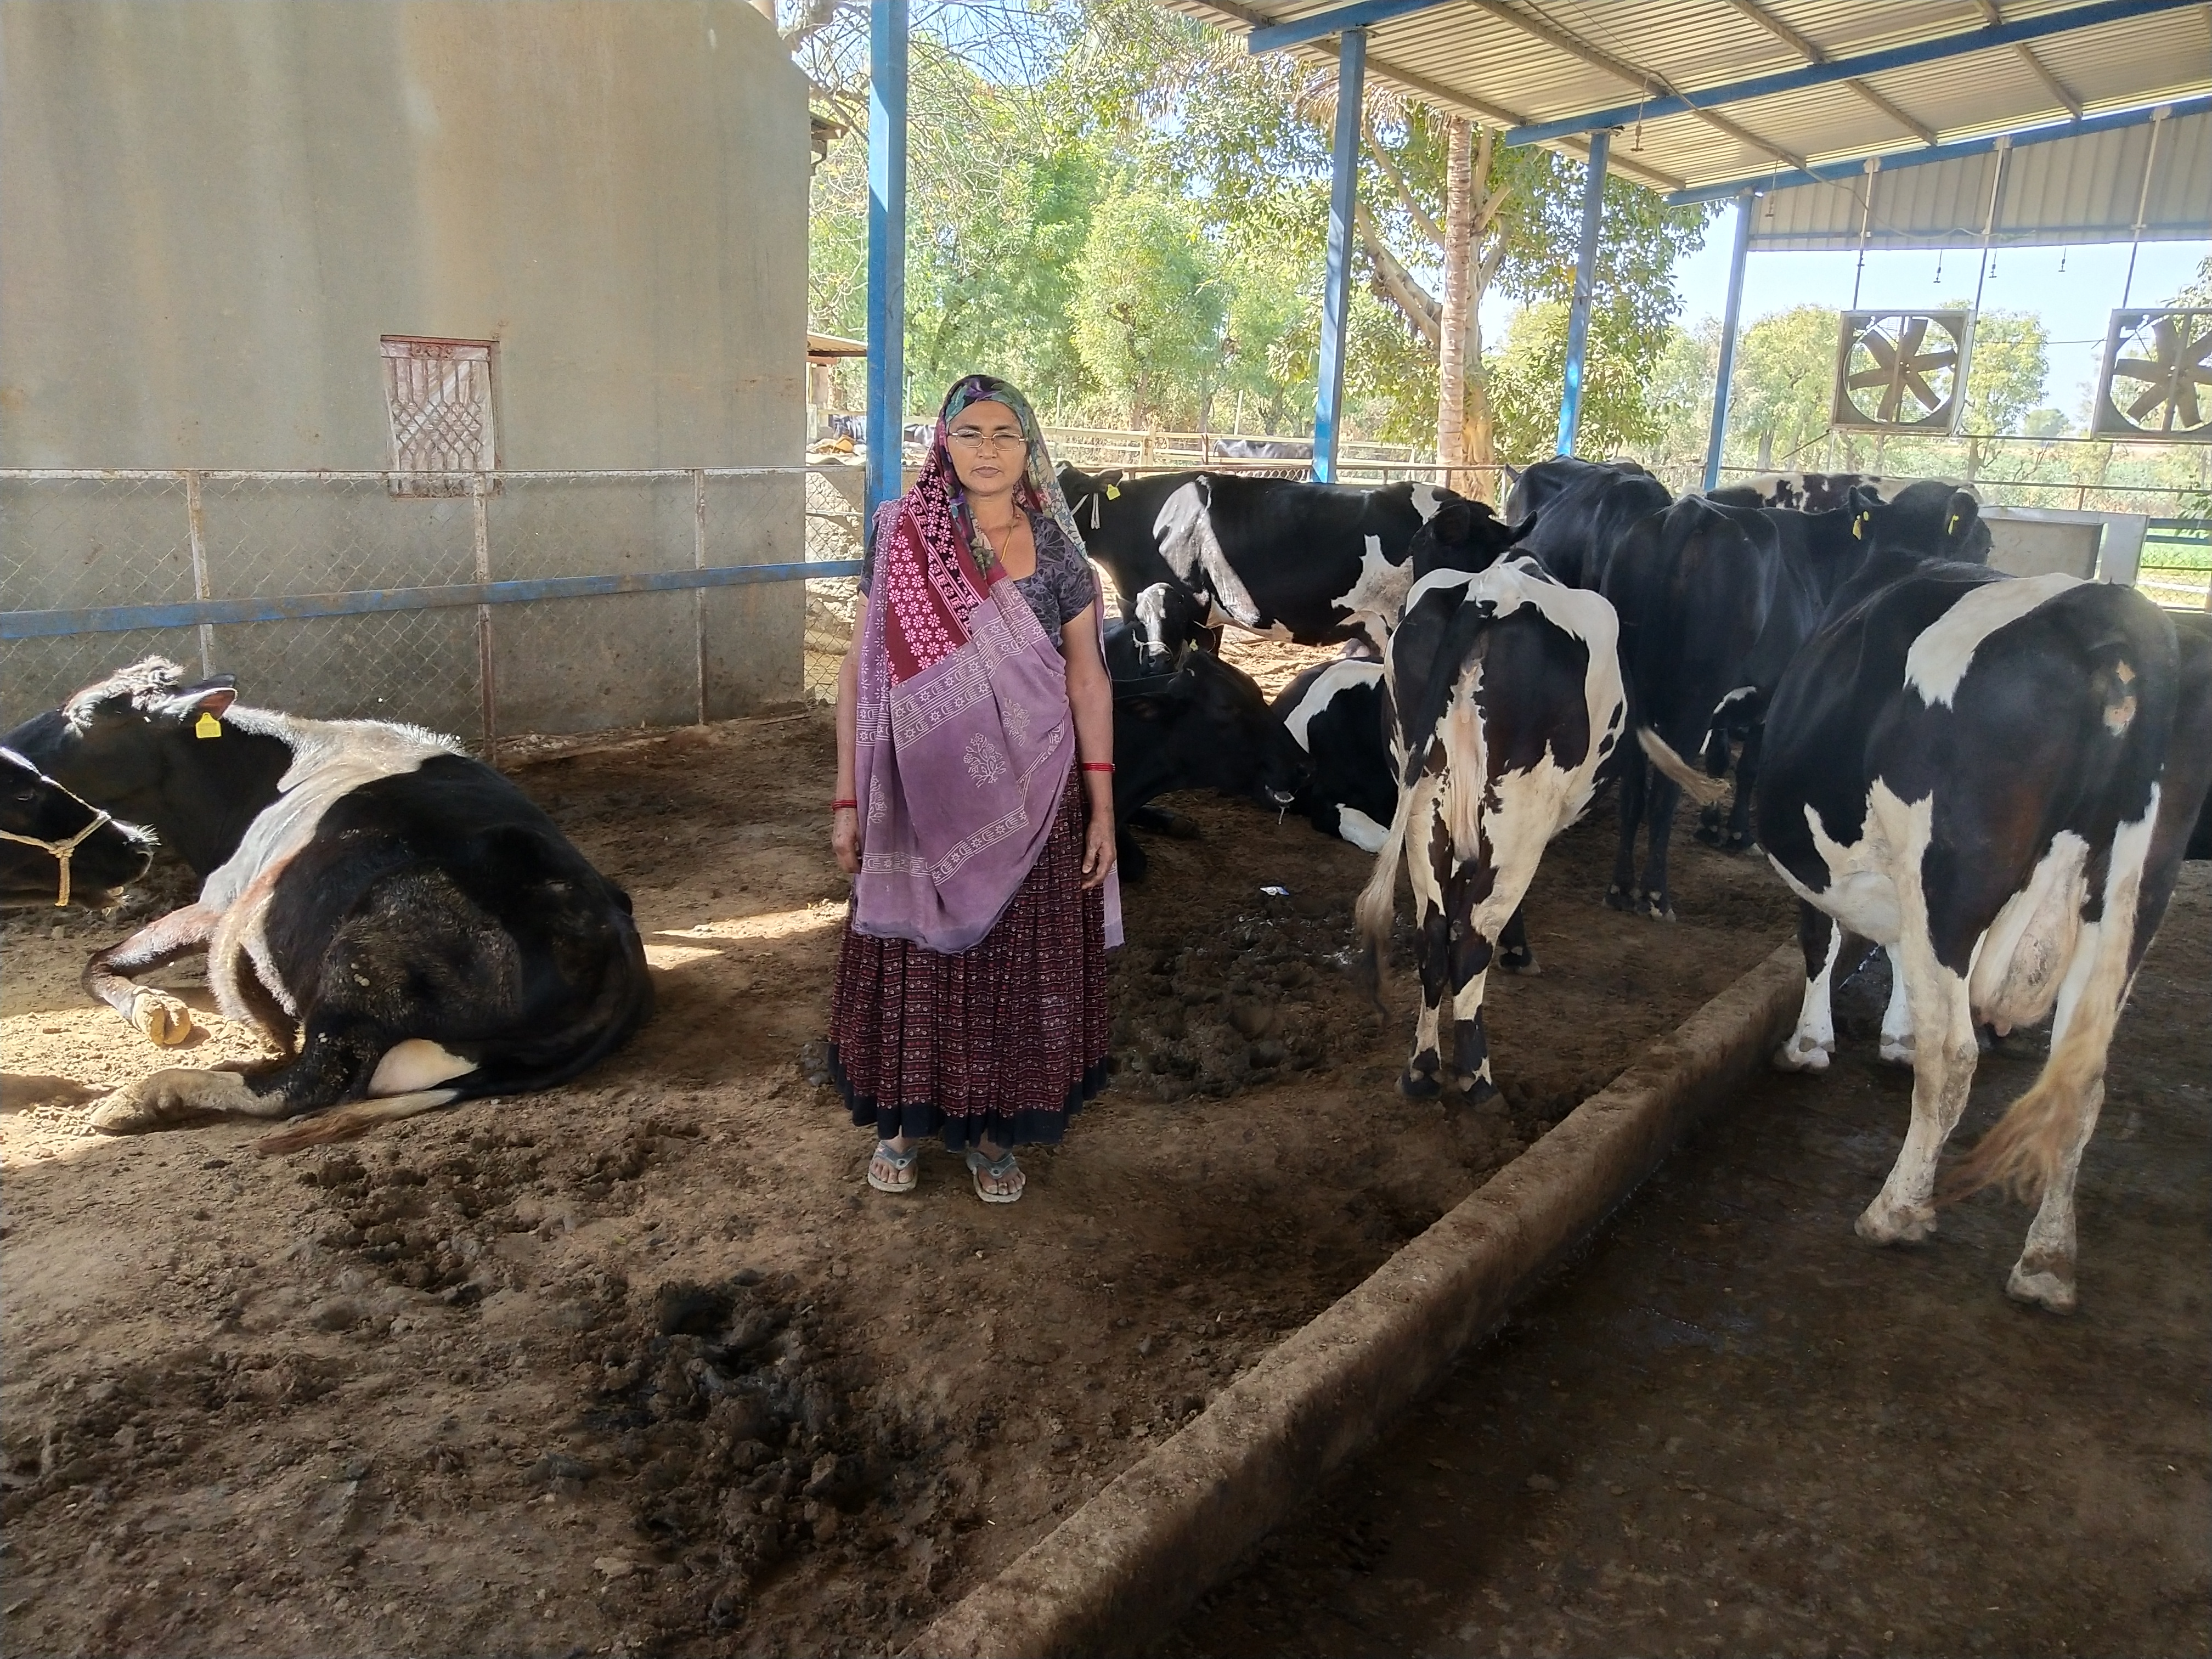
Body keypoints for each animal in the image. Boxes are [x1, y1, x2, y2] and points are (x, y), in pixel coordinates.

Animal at [1345, 500, 1628, 1110]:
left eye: (1419, 544)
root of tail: (1484, 595)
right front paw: (1521, 952)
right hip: (1518, 809)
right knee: (1474, 935)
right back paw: (1476, 1077)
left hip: (1425, 801)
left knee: (1432, 933)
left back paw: (1421, 1070)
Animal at [1743, 493, 2212, 1309]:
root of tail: (2108, 612)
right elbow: (1898, 956)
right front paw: (1895, 1034)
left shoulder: (1826, 860)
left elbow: (1822, 941)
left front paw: (1809, 1047)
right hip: (2134, 898)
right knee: (2082, 1079)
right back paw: (2047, 1261)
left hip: (1954, 873)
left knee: (1957, 1055)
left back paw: (1895, 1212)